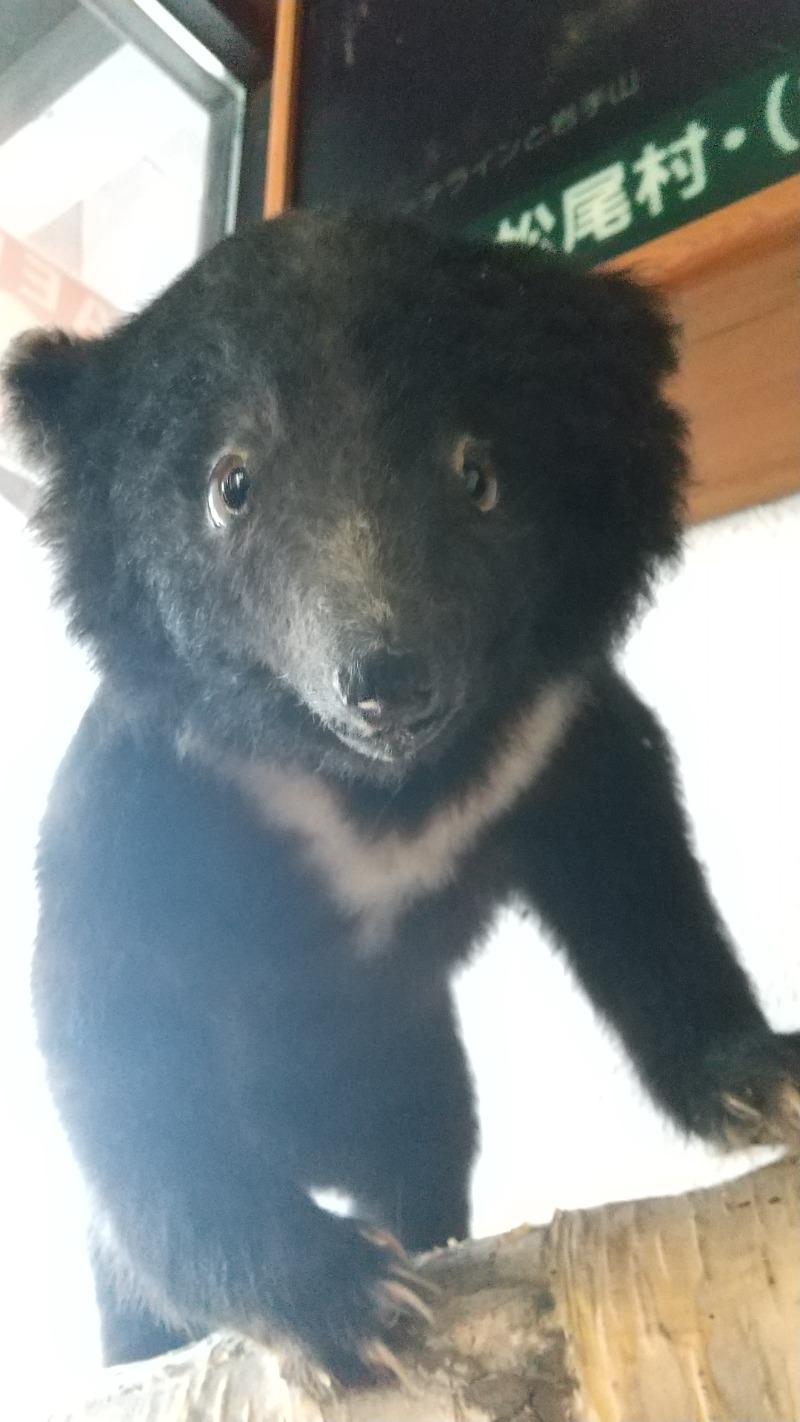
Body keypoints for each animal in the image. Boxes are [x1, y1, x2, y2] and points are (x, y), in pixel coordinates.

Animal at [3, 210, 795, 1376]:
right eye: (231, 485)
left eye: (479, 475)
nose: (386, 680)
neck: (371, 785)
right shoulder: (158, 790)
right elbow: (111, 1023)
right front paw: (346, 1298)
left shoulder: (554, 743)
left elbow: (640, 890)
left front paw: (769, 1079)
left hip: (414, 1071)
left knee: (427, 1158)